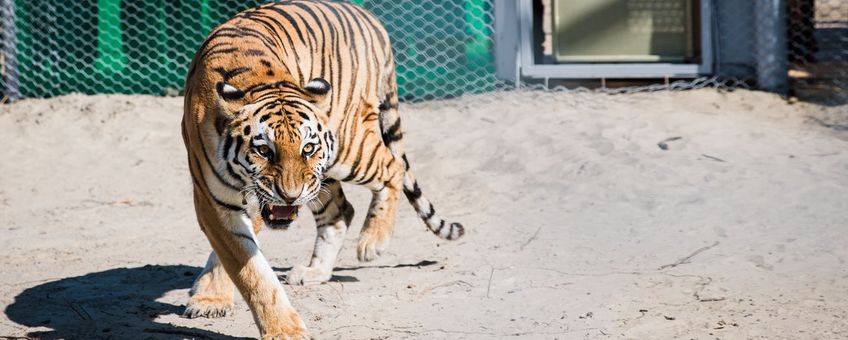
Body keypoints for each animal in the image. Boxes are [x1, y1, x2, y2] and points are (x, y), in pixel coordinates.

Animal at [180, 1, 468, 338]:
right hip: (322, 175)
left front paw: (282, 330)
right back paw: (316, 270)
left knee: (393, 166)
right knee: (340, 210)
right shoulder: (215, 201)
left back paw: (372, 242)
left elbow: (247, 268)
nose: (290, 197)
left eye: (306, 148)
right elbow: (248, 268)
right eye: (264, 150)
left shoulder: (250, 200)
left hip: (347, 147)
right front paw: (215, 299)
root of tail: (368, 17)